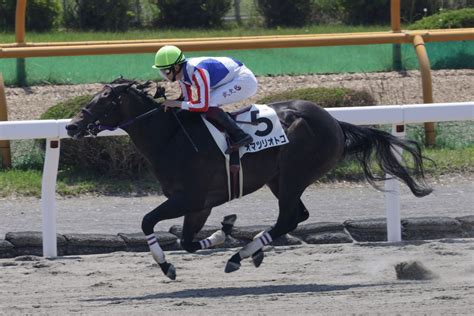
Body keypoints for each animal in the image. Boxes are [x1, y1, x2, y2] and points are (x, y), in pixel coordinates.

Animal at [66, 80, 434, 280]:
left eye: (103, 100)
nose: (71, 125)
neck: (171, 137)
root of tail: (334, 121)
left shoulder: (191, 198)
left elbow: (148, 222)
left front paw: (168, 266)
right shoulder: (199, 205)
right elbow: (187, 241)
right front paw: (222, 231)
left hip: (294, 175)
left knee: (288, 218)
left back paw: (240, 256)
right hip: (280, 179)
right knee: (296, 217)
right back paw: (251, 251)